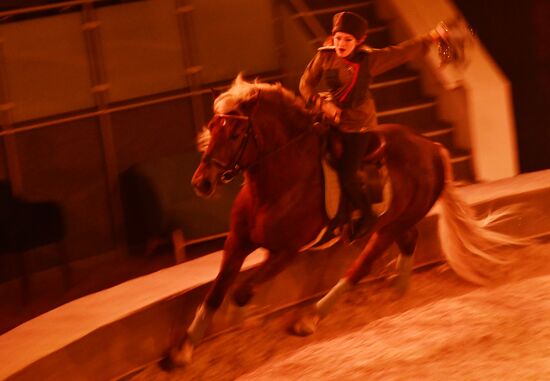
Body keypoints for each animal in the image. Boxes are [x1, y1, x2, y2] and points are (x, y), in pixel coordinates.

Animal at [170, 75, 524, 366]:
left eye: (235, 133)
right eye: (212, 127)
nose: (202, 182)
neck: (278, 180)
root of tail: (432, 147)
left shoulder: (285, 251)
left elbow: (241, 292)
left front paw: (242, 322)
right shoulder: (238, 241)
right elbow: (215, 293)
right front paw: (182, 350)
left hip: (386, 229)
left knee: (360, 267)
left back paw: (310, 318)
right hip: (393, 220)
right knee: (408, 240)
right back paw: (398, 288)